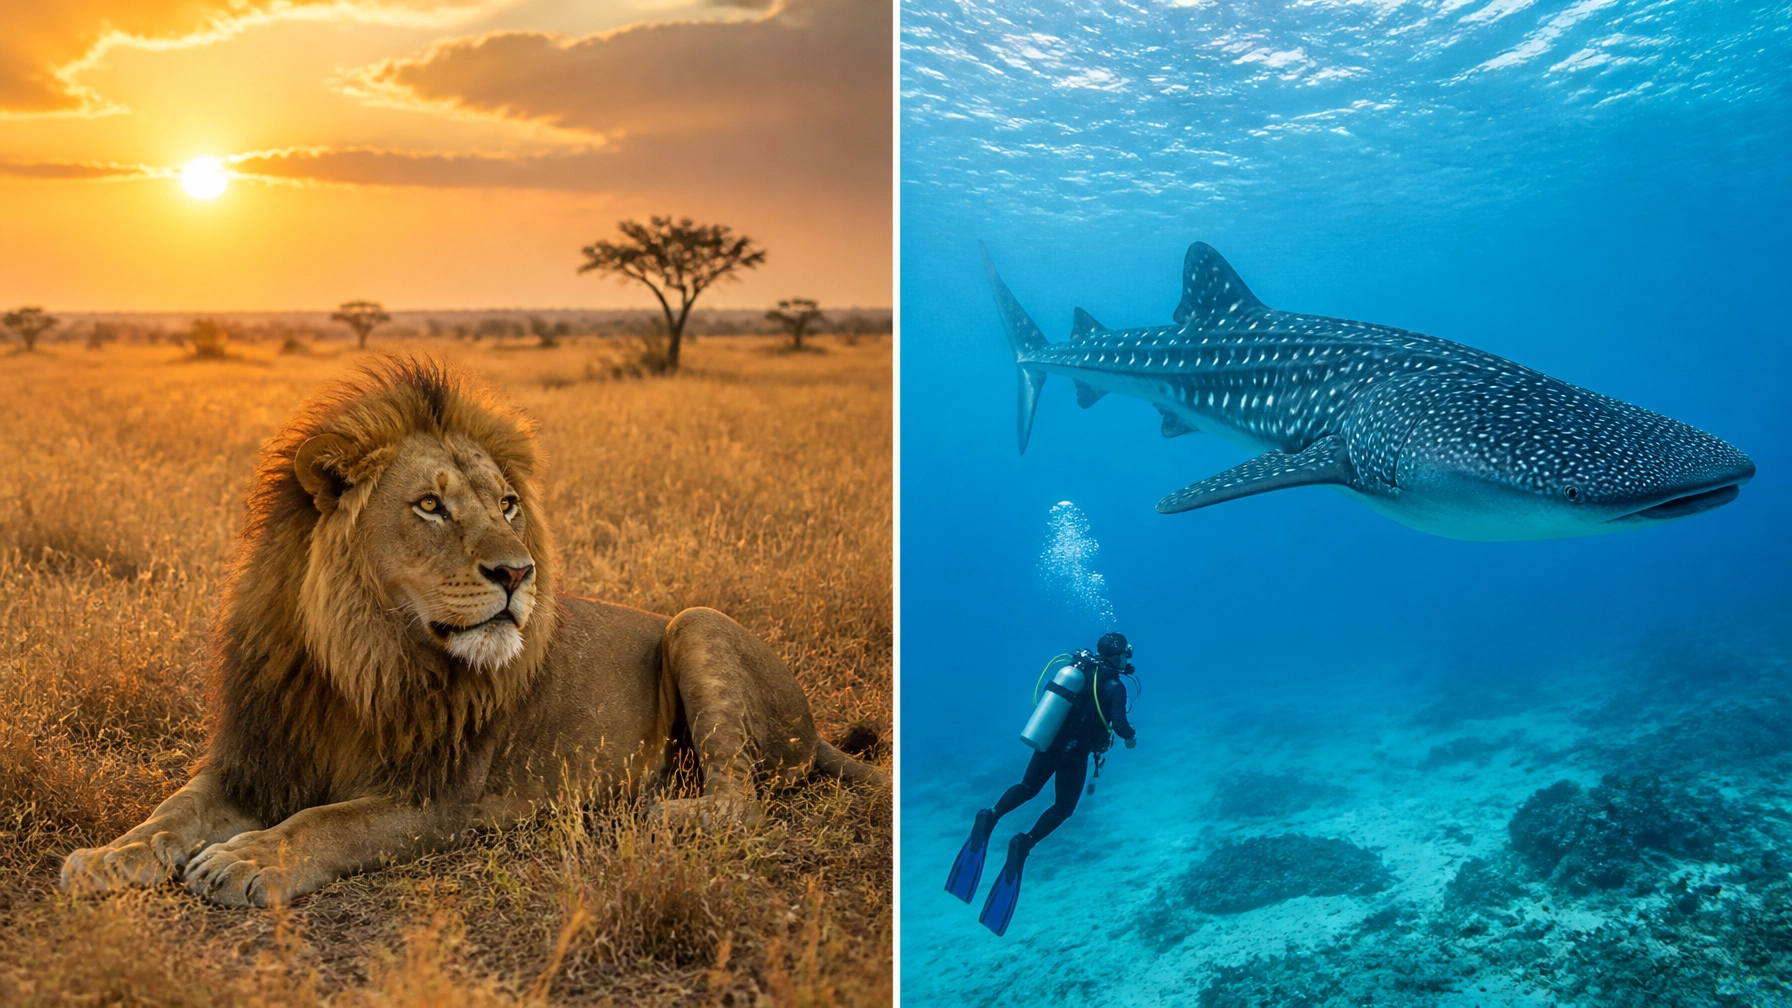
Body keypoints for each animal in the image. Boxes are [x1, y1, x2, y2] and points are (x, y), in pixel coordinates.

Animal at [60, 358, 881, 908]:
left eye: (509, 503)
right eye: (431, 505)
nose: (519, 572)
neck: (357, 659)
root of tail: (817, 730)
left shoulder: (438, 796)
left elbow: (328, 821)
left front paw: (249, 858)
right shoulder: (255, 759)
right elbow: (171, 810)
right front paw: (106, 857)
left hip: (696, 625)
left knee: (742, 798)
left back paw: (666, 810)